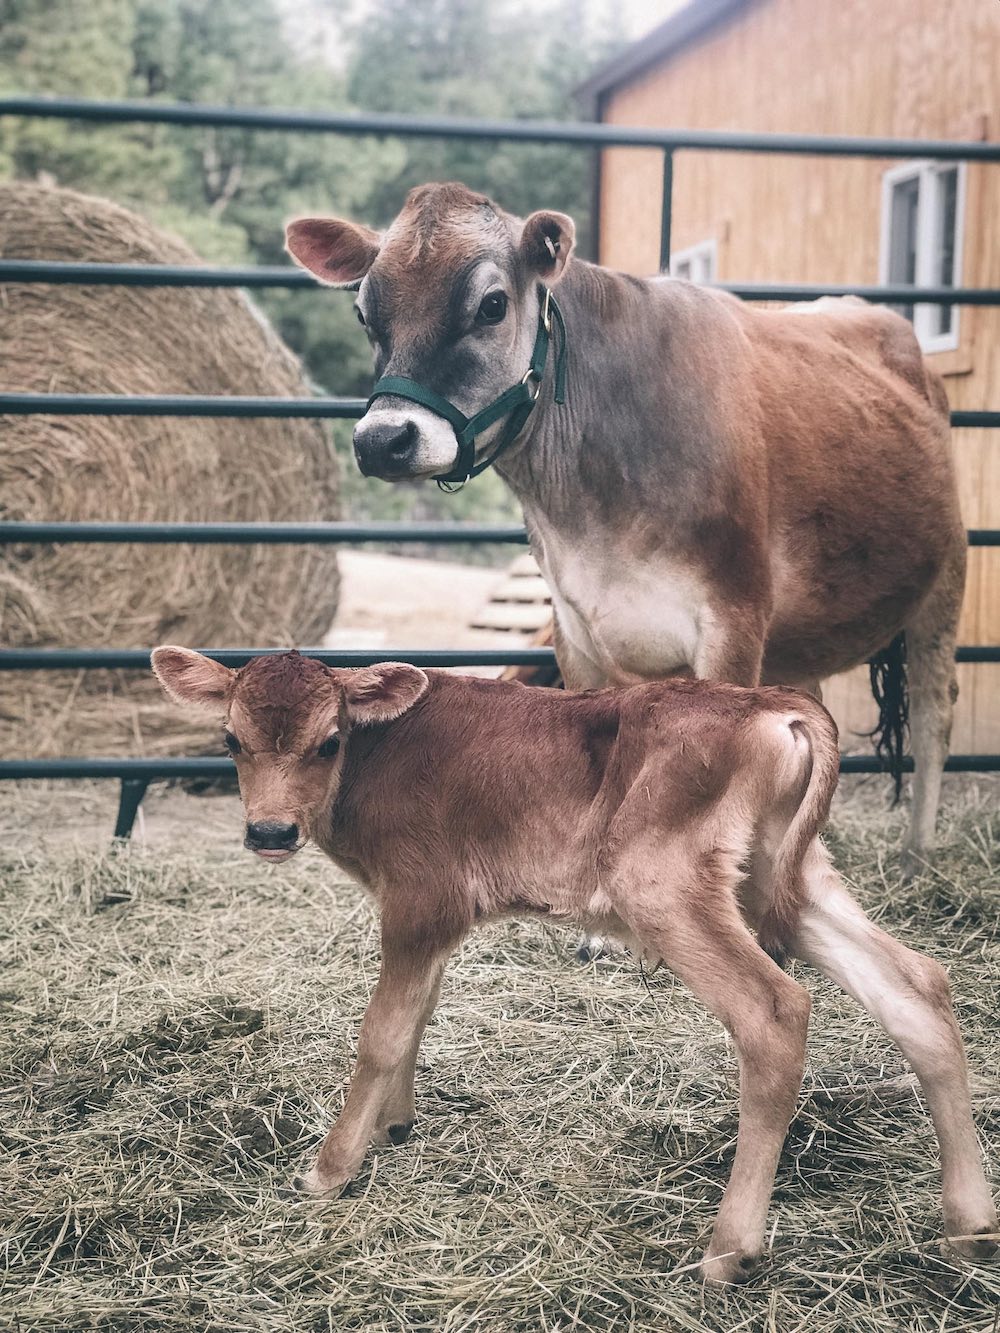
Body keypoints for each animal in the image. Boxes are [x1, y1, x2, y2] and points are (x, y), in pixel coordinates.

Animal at [152, 650, 997, 1285]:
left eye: (328, 741)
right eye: (230, 738)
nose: (269, 830)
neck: (379, 756)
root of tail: (773, 705)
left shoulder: (421, 899)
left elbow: (382, 1031)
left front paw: (329, 1170)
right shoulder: (438, 920)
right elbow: (420, 1013)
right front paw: (396, 1121)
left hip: (665, 887)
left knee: (776, 1011)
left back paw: (729, 1248)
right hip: (786, 882)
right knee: (917, 988)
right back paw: (968, 1225)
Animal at [285, 187, 965, 874]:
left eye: (492, 304)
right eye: (365, 313)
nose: (383, 440)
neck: (595, 513)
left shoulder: (734, 621)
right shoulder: (575, 630)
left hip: (946, 580)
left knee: (935, 713)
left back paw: (916, 851)